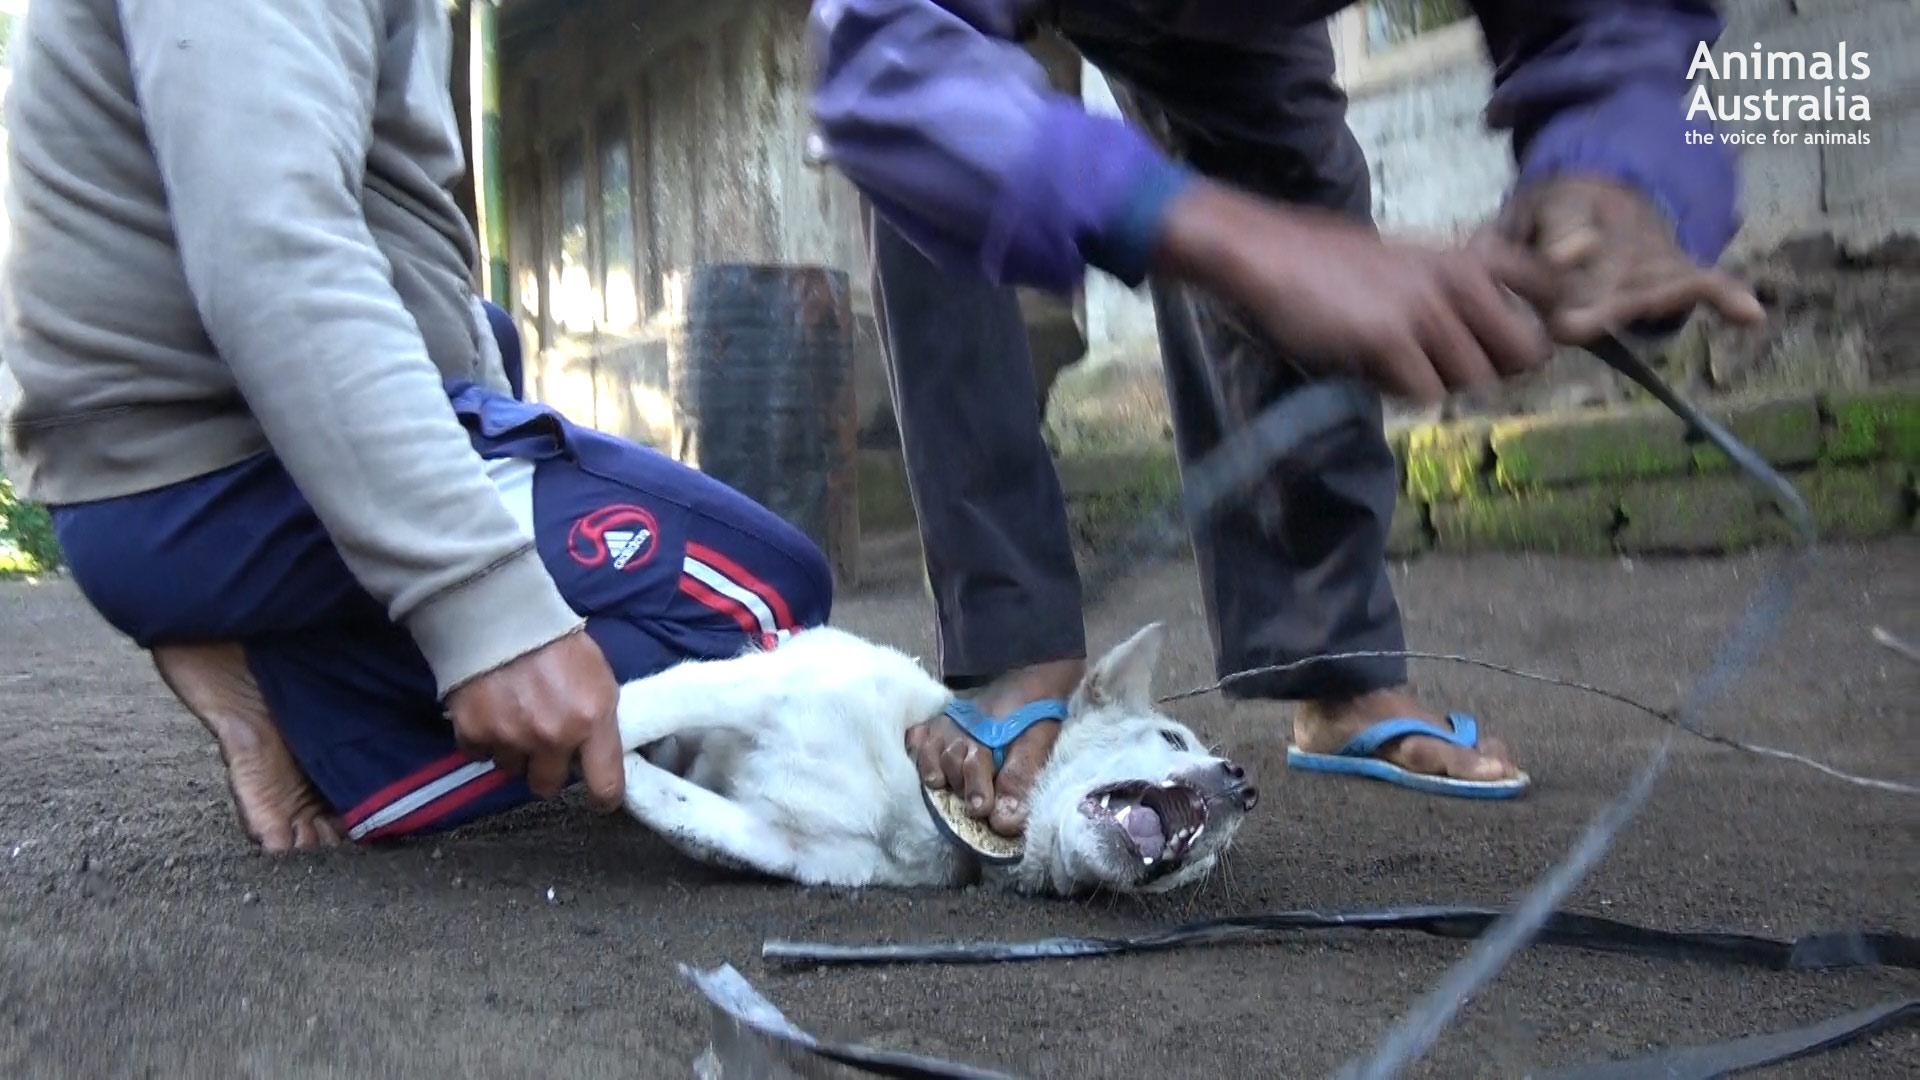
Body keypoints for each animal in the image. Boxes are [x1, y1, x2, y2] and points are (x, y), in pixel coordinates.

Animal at [606, 622, 1251, 891]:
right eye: (1172, 739)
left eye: (1207, 865)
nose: (1245, 784)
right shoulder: (760, 685)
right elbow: (629, 708)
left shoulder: (789, 847)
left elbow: (669, 801)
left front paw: (624, 777)